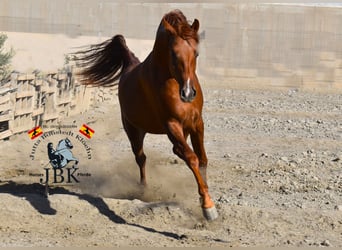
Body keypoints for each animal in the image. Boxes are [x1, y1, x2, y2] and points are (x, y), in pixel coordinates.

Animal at [74, 10, 218, 221]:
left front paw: (205, 198)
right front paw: (208, 207)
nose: (188, 93)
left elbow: (202, 159)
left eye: (196, 53)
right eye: (173, 54)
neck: (170, 80)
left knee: (173, 152)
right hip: (134, 131)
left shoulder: (197, 123)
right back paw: (143, 189)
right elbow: (192, 158)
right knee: (141, 158)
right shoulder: (171, 125)